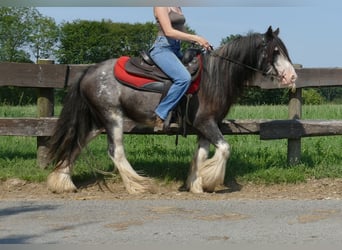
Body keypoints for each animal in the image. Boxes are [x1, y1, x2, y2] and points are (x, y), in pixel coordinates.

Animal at [45, 26, 296, 193]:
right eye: (275, 51)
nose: (292, 76)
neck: (214, 77)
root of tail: (88, 71)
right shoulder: (206, 122)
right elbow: (225, 149)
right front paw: (210, 180)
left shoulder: (205, 126)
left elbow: (200, 154)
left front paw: (196, 184)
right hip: (112, 117)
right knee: (115, 151)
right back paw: (138, 185)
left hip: (96, 122)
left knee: (76, 143)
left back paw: (63, 182)